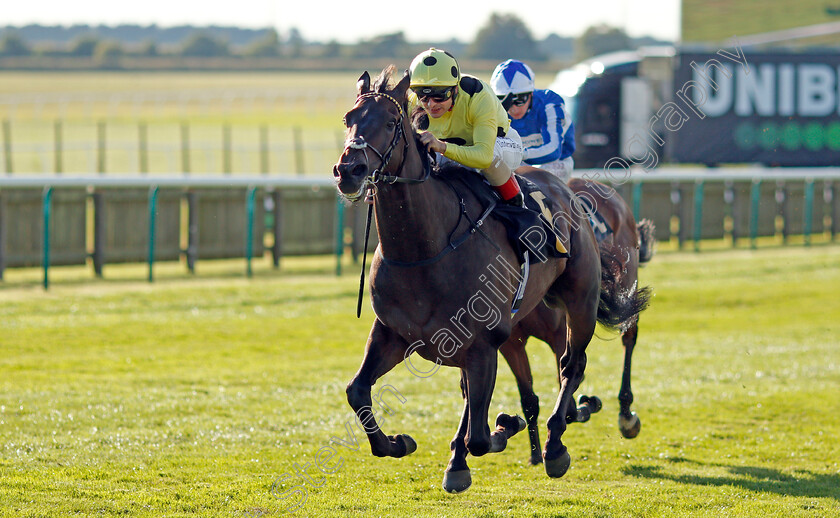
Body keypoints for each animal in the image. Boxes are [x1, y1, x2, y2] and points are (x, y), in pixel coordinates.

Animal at [498, 179, 656, 468]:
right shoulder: (511, 342)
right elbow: (529, 398)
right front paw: (533, 451)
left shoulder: (562, 332)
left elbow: (569, 380)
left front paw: (582, 407)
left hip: (625, 285)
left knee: (629, 338)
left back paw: (626, 414)